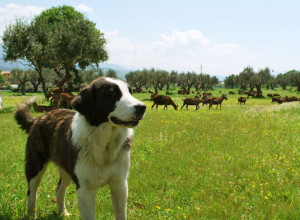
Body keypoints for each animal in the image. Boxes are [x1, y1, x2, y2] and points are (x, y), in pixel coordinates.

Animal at [15, 77, 146, 218]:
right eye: (112, 94)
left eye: (130, 92)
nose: (142, 107)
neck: (104, 143)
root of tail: (38, 118)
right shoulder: (85, 189)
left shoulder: (120, 184)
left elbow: (121, 214)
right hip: (35, 166)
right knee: (32, 191)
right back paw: (31, 215)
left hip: (66, 169)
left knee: (59, 189)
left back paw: (62, 213)